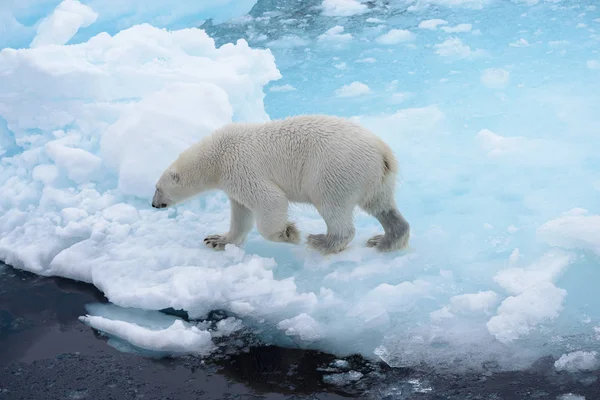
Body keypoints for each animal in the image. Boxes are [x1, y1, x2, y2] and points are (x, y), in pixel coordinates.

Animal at [152, 114, 410, 255]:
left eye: (157, 188)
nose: (154, 204)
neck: (216, 155)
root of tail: (383, 151)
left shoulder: (241, 167)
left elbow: (270, 200)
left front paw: (288, 233)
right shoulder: (232, 181)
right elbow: (240, 213)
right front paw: (217, 240)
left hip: (334, 169)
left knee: (331, 204)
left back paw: (321, 241)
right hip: (375, 177)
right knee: (381, 205)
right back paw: (384, 240)